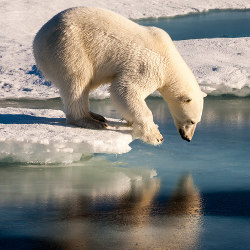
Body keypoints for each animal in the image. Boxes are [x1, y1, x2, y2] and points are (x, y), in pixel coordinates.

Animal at [33, 6, 206, 146]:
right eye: (191, 121)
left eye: (197, 121)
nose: (188, 138)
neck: (168, 58)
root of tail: (38, 39)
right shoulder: (148, 65)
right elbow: (124, 89)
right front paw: (156, 136)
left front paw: (129, 120)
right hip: (69, 47)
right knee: (78, 81)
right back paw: (91, 121)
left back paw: (96, 116)